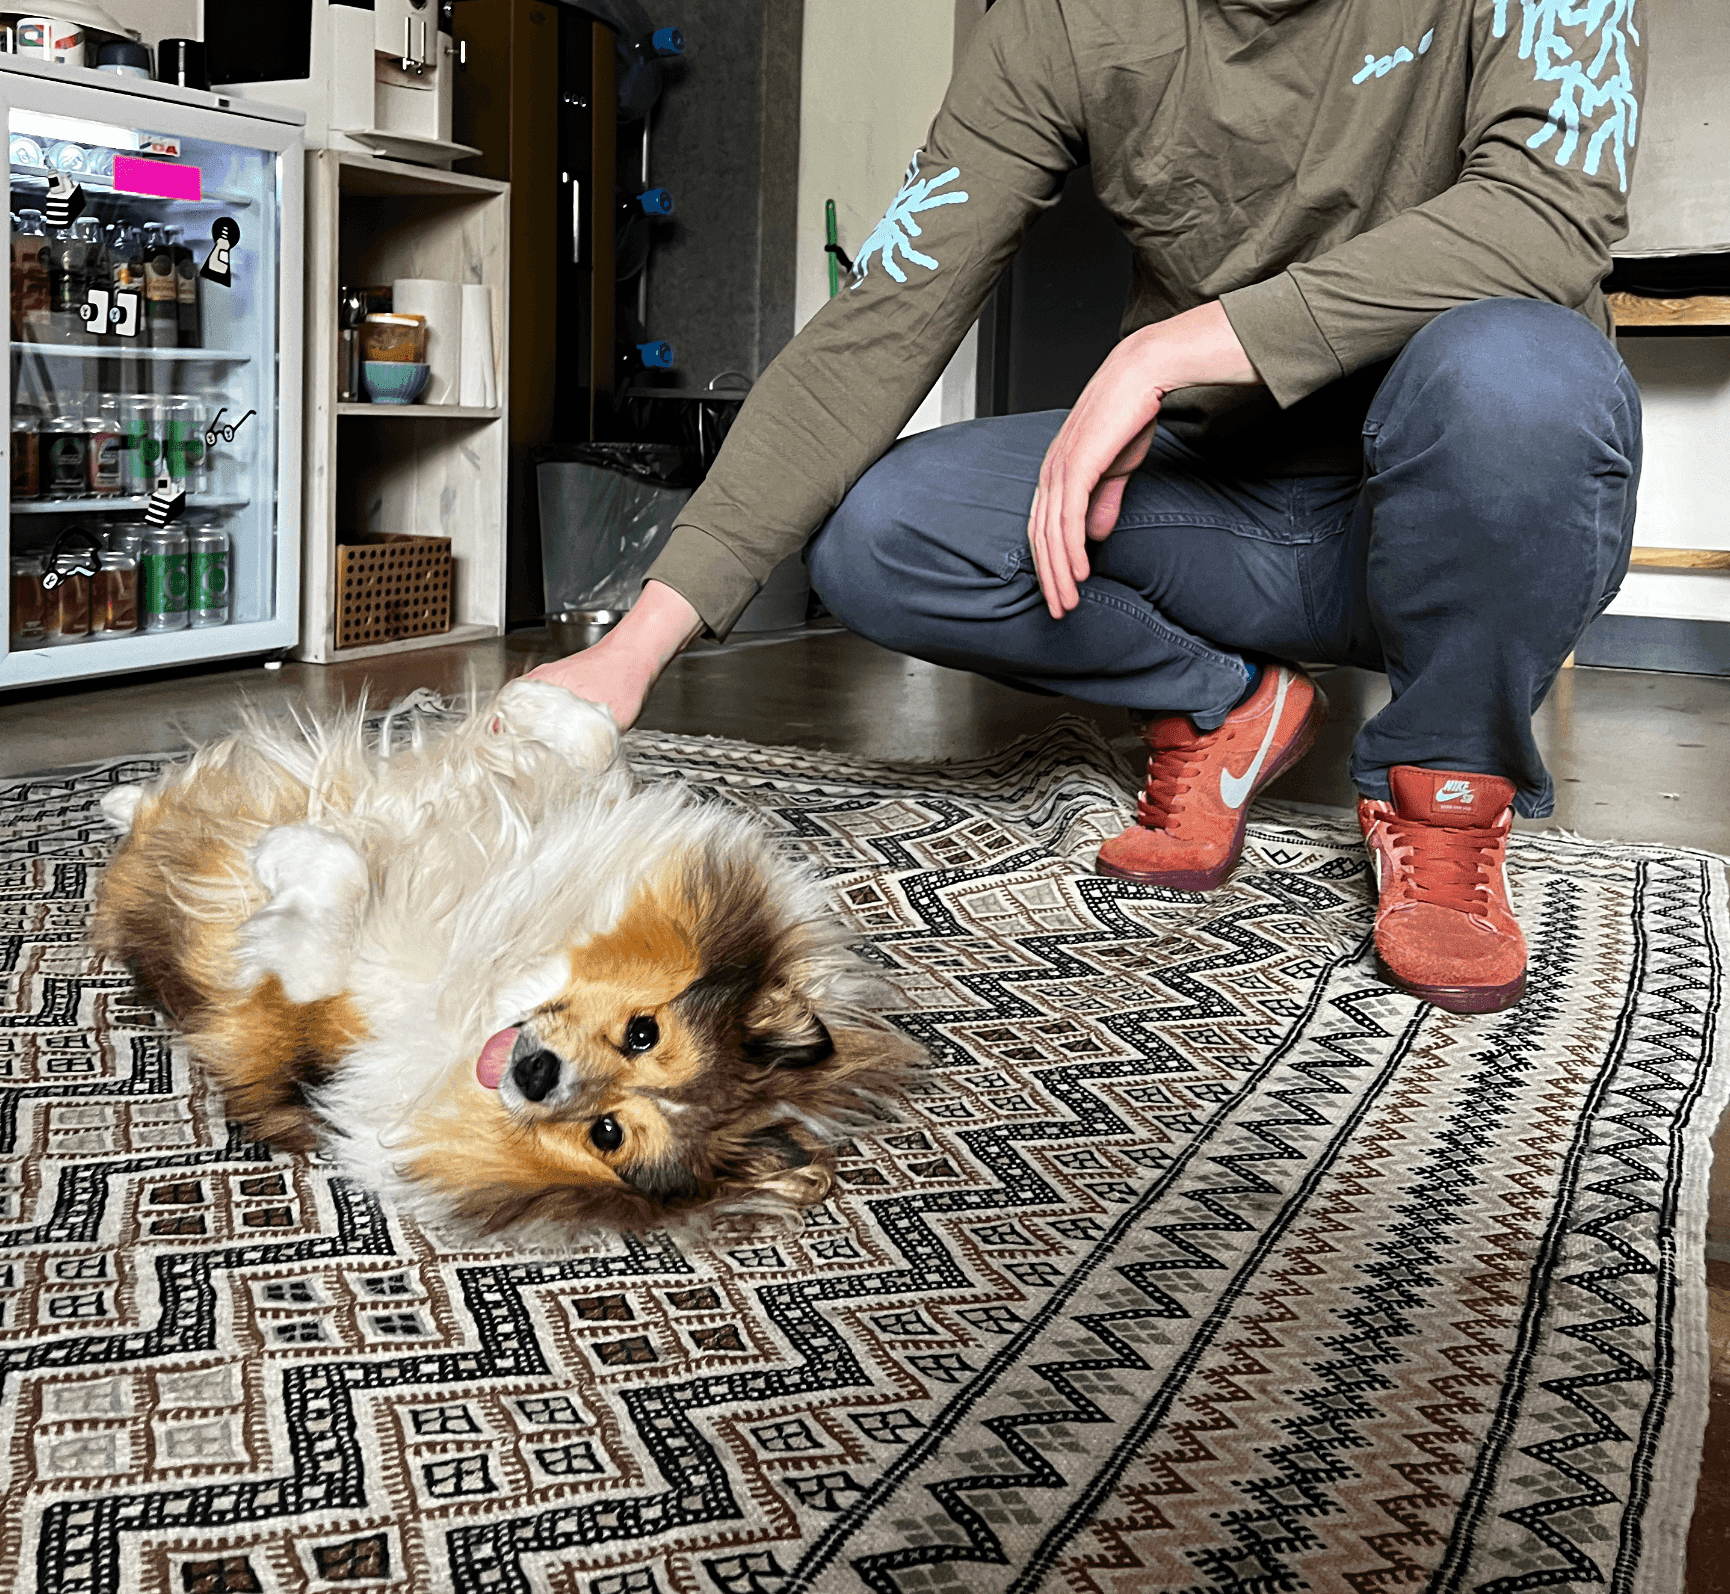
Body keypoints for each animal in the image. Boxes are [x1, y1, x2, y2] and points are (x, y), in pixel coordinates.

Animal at [92, 680, 915, 1234]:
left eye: (607, 1134)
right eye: (643, 1032)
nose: (537, 1077)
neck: (489, 983)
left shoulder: (300, 1003)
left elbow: (330, 898)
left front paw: (285, 850)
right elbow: (595, 741)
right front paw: (530, 702)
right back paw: (123, 800)